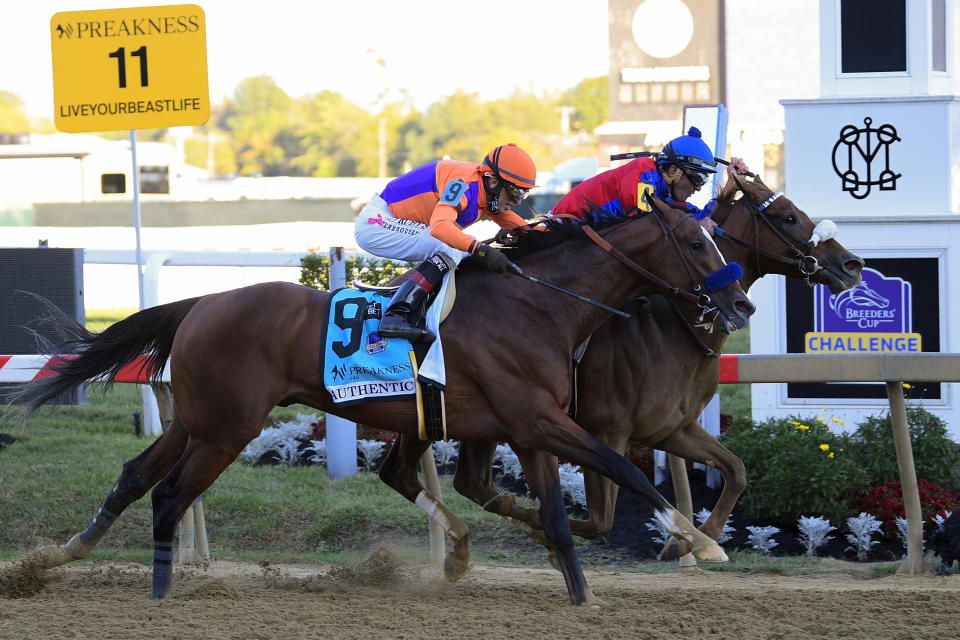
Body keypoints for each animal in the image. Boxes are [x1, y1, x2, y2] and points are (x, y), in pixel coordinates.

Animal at [11, 199, 752, 604]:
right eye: (696, 241)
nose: (740, 304)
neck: (538, 304)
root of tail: (201, 303)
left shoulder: (529, 425)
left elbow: (560, 517)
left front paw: (580, 593)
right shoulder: (538, 419)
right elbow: (623, 468)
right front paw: (700, 543)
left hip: (200, 420)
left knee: (136, 476)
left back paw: (60, 557)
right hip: (226, 429)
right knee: (168, 494)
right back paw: (160, 590)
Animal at [380, 176, 864, 560]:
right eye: (788, 217)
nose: (852, 264)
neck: (672, 322)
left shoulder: (671, 428)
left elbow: (736, 471)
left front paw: (694, 540)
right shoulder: (604, 430)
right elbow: (602, 519)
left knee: (443, 479)